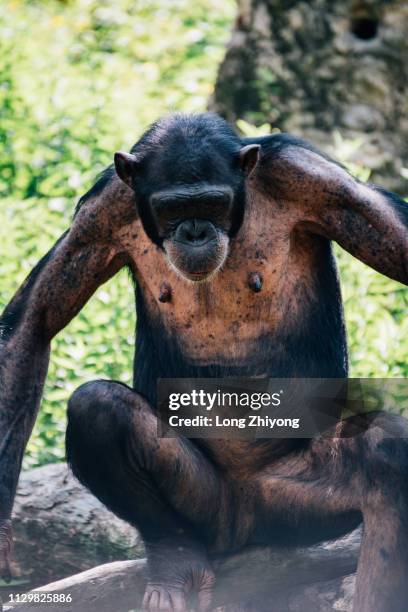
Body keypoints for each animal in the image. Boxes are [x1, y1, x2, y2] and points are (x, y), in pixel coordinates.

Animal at [0, 112, 406, 608]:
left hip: (295, 508)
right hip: (203, 504)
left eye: (213, 203)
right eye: (172, 208)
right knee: (98, 409)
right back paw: (177, 561)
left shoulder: (316, 182)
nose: (195, 230)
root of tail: (242, 523)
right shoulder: (100, 214)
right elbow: (33, 323)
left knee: (384, 454)